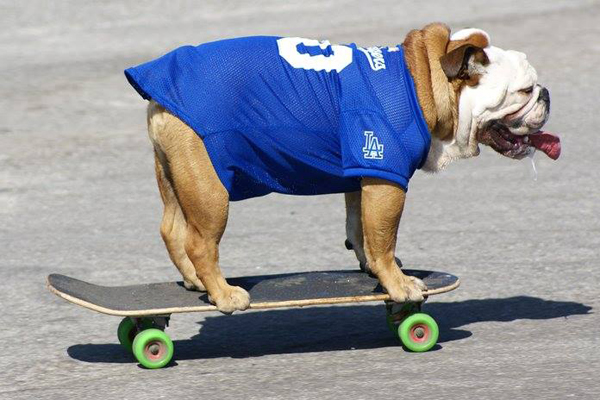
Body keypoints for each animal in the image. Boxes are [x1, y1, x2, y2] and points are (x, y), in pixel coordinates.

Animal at [124, 23, 560, 314]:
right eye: (523, 91)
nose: (546, 94)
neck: (420, 79)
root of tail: (157, 87)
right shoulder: (387, 183)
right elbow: (384, 238)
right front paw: (397, 285)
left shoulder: (363, 177)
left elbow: (361, 228)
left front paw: (372, 268)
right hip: (210, 190)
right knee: (200, 243)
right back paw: (224, 294)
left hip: (176, 178)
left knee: (172, 229)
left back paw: (196, 281)